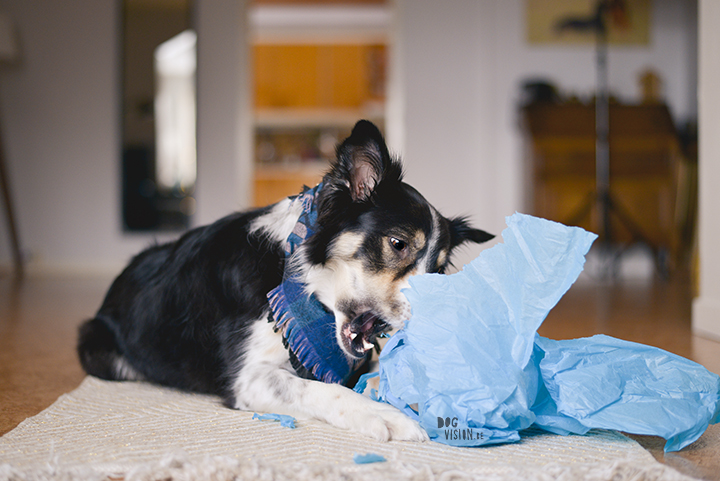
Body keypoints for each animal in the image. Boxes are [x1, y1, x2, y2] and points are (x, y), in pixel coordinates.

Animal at [79, 119, 496, 438]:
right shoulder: (248, 378)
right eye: (398, 243)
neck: (298, 276)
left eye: (439, 269)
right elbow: (322, 390)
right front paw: (384, 415)